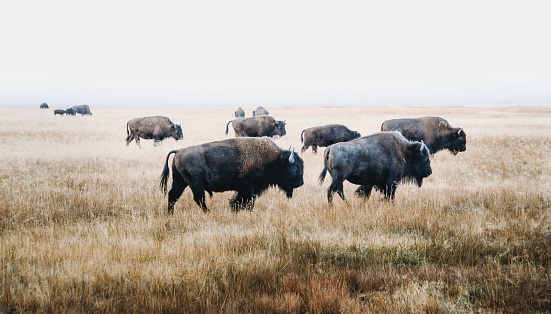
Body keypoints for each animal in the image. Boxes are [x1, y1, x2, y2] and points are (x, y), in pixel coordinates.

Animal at [160, 137, 306, 213]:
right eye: (295, 167)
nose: (301, 183)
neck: (272, 158)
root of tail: (178, 151)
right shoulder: (248, 188)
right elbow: (246, 201)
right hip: (195, 184)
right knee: (198, 199)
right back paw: (208, 213)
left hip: (180, 181)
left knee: (173, 195)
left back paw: (170, 214)